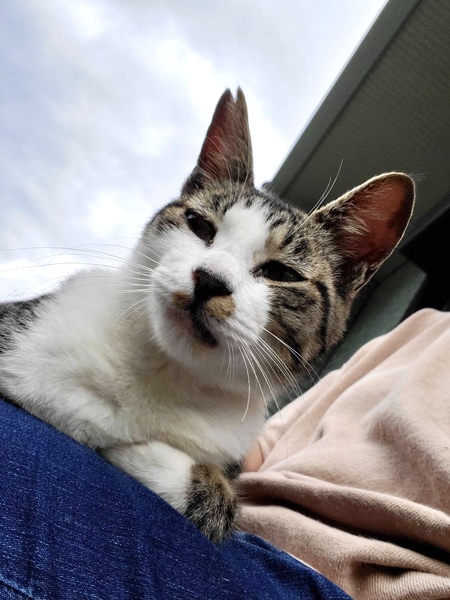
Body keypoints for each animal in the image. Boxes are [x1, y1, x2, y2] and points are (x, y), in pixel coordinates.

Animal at [0, 89, 414, 543]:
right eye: (199, 225)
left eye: (281, 273)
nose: (209, 279)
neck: (169, 370)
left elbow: (219, 500)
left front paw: (133, 448)